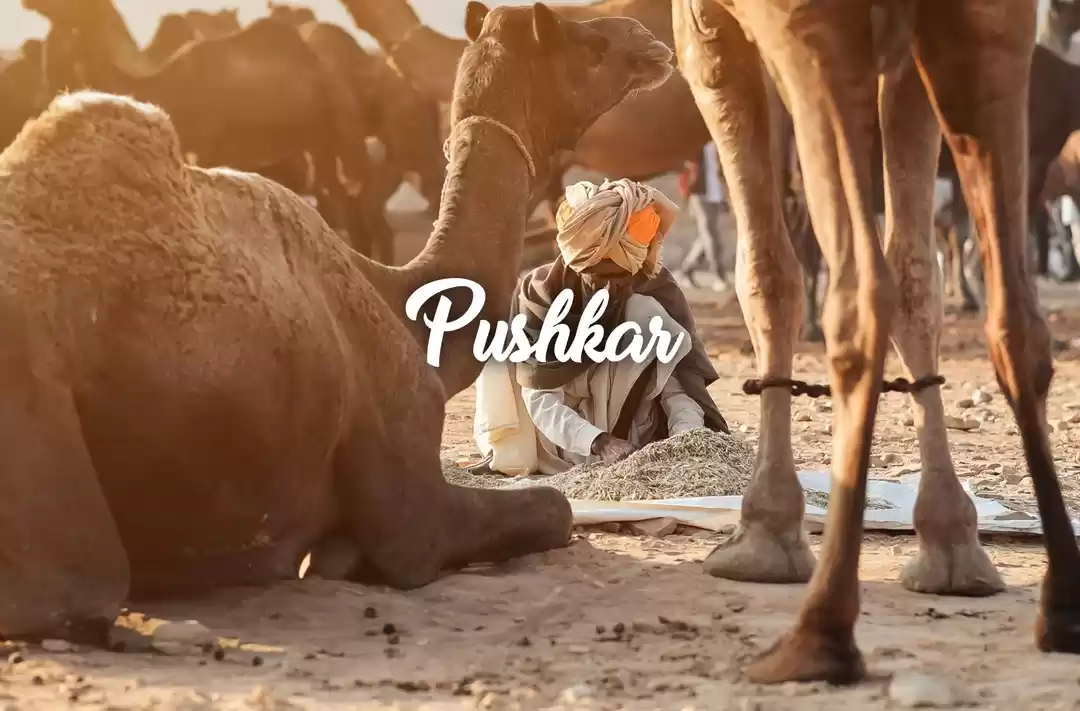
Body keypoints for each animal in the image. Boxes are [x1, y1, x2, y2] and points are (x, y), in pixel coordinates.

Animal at [0, 1, 672, 643]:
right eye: (586, 42)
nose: (650, 39)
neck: (404, 306)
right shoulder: (409, 510)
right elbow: (552, 510)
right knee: (75, 593)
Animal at [675, 0, 1080, 685]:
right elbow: (916, 273)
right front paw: (951, 544)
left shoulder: (709, 28)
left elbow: (767, 267)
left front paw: (765, 534)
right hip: (989, 29)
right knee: (1012, 314)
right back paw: (1064, 610)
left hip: (811, 27)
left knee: (858, 288)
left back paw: (818, 635)